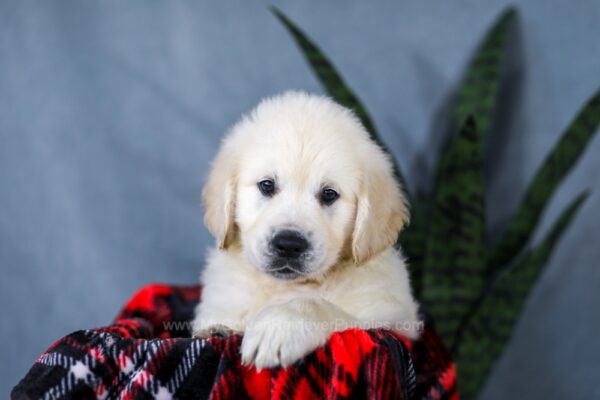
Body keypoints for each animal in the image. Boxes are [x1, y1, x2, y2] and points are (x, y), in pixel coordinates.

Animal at [191, 90, 418, 368]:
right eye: (267, 185)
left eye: (329, 194)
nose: (289, 245)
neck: (289, 286)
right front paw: (218, 331)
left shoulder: (392, 317)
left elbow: (316, 304)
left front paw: (278, 328)